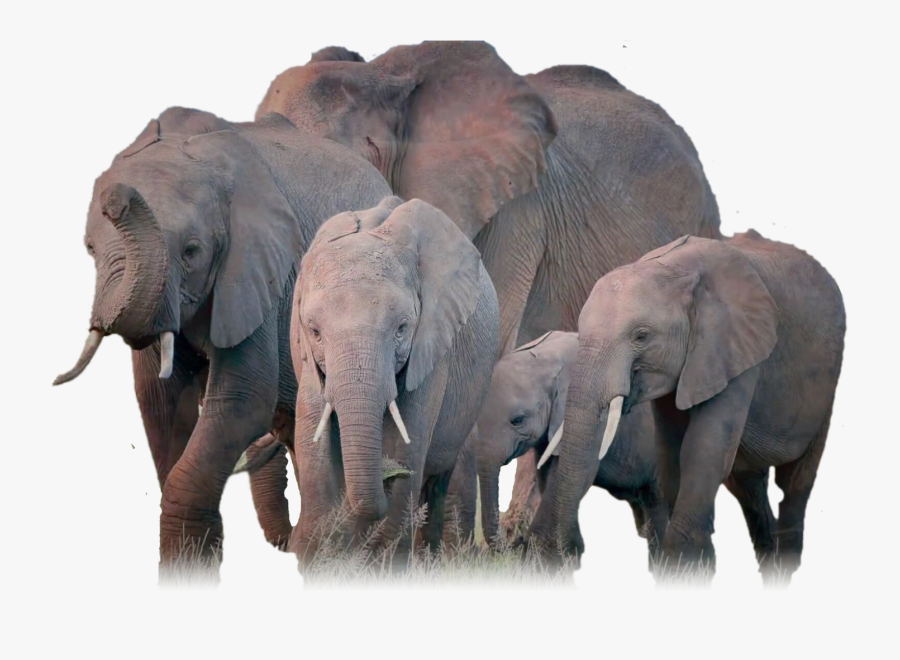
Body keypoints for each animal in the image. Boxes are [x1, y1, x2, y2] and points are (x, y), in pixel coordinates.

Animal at [53, 105, 394, 575]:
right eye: (89, 248)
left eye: (192, 252)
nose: (116, 199)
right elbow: (158, 400)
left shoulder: (258, 269)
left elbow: (242, 400)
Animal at [289, 196, 499, 566]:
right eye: (314, 333)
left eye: (402, 329)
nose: (391, 473)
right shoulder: (308, 364)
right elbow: (314, 443)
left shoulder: (432, 347)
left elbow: (407, 442)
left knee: (439, 478)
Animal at [527, 231, 846, 585]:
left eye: (641, 336)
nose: (554, 555)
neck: (674, 268)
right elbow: (671, 450)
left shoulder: (733, 345)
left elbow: (704, 447)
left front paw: (681, 568)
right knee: (747, 484)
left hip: (824, 390)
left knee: (795, 479)